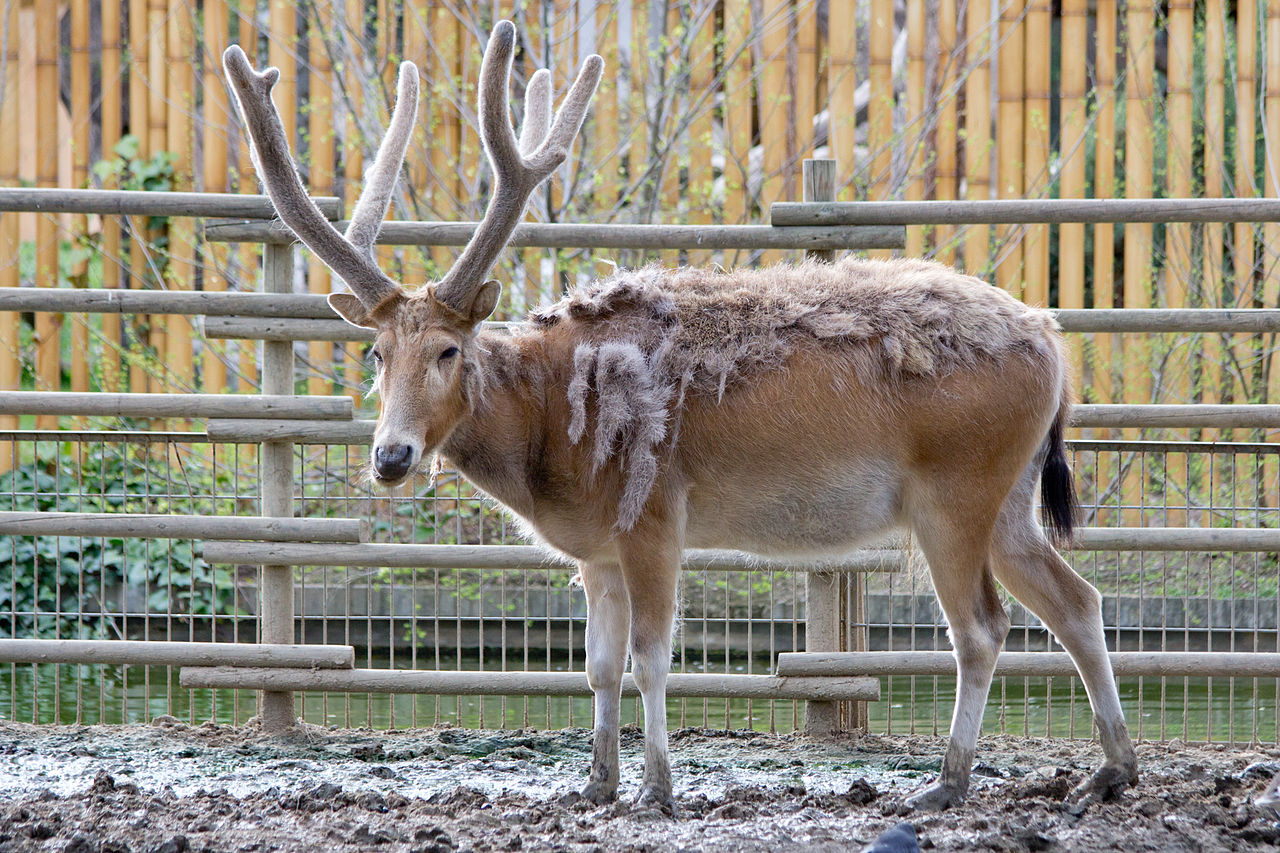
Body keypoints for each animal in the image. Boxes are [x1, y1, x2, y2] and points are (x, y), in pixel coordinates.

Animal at [222, 21, 1141, 809]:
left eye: (449, 350)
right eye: (376, 353)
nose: (391, 455)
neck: (550, 442)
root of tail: (1057, 350)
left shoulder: (654, 512)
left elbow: (654, 659)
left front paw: (658, 788)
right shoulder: (594, 550)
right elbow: (596, 666)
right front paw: (594, 782)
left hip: (956, 488)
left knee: (983, 628)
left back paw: (947, 782)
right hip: (1011, 496)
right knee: (1077, 598)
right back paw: (1113, 769)